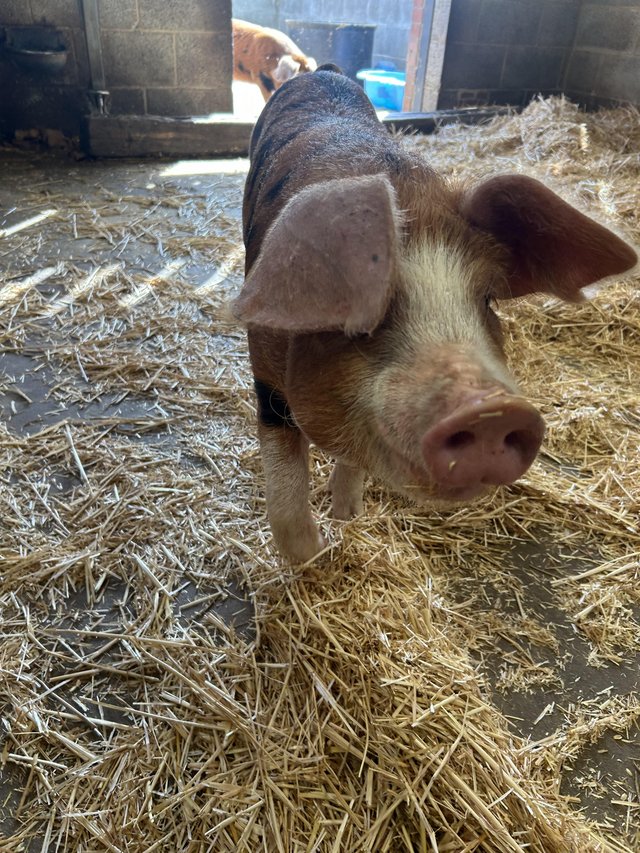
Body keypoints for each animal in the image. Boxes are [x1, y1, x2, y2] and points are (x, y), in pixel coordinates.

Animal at [234, 66, 638, 562]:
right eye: (360, 303)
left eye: (487, 300)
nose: (492, 410)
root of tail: (320, 71)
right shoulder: (267, 377)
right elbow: (286, 500)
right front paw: (319, 554)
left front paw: (347, 517)